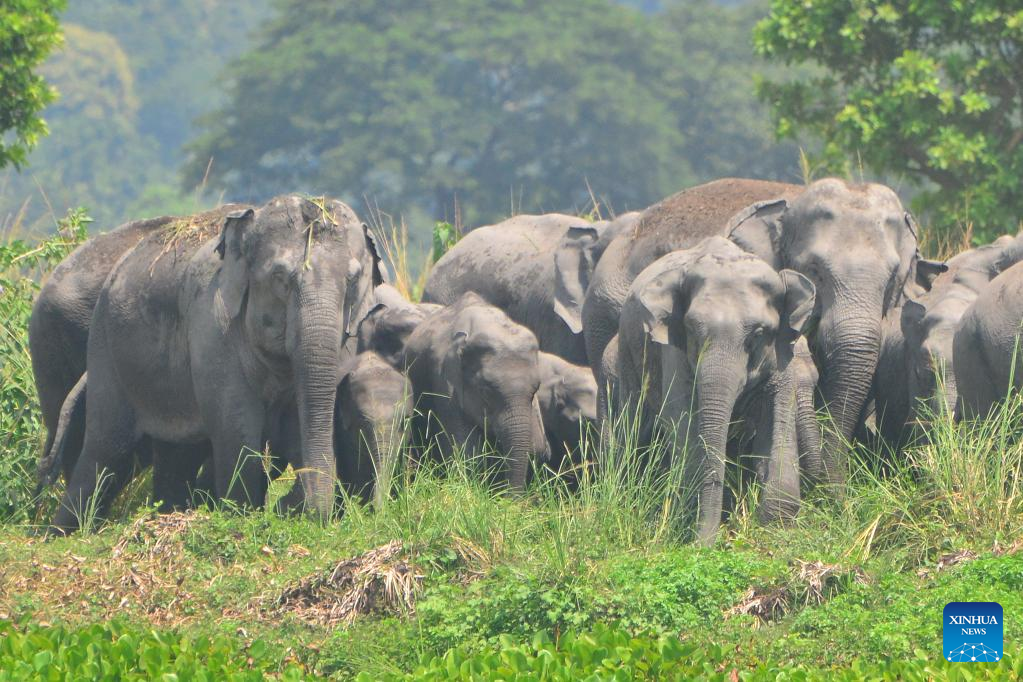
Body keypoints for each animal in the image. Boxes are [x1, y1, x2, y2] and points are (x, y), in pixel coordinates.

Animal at [49, 194, 382, 531]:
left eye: (353, 280)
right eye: (280, 278)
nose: (287, 505)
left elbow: (298, 422)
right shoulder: (212, 326)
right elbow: (237, 425)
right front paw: (242, 515)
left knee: (174, 454)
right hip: (105, 348)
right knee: (105, 449)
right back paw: (63, 533)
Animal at [609, 237, 818, 548]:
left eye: (758, 334)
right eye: (692, 330)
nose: (704, 545)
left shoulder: (782, 352)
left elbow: (778, 411)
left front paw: (776, 525)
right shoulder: (673, 348)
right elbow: (682, 415)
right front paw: (689, 519)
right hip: (627, 348)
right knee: (632, 420)